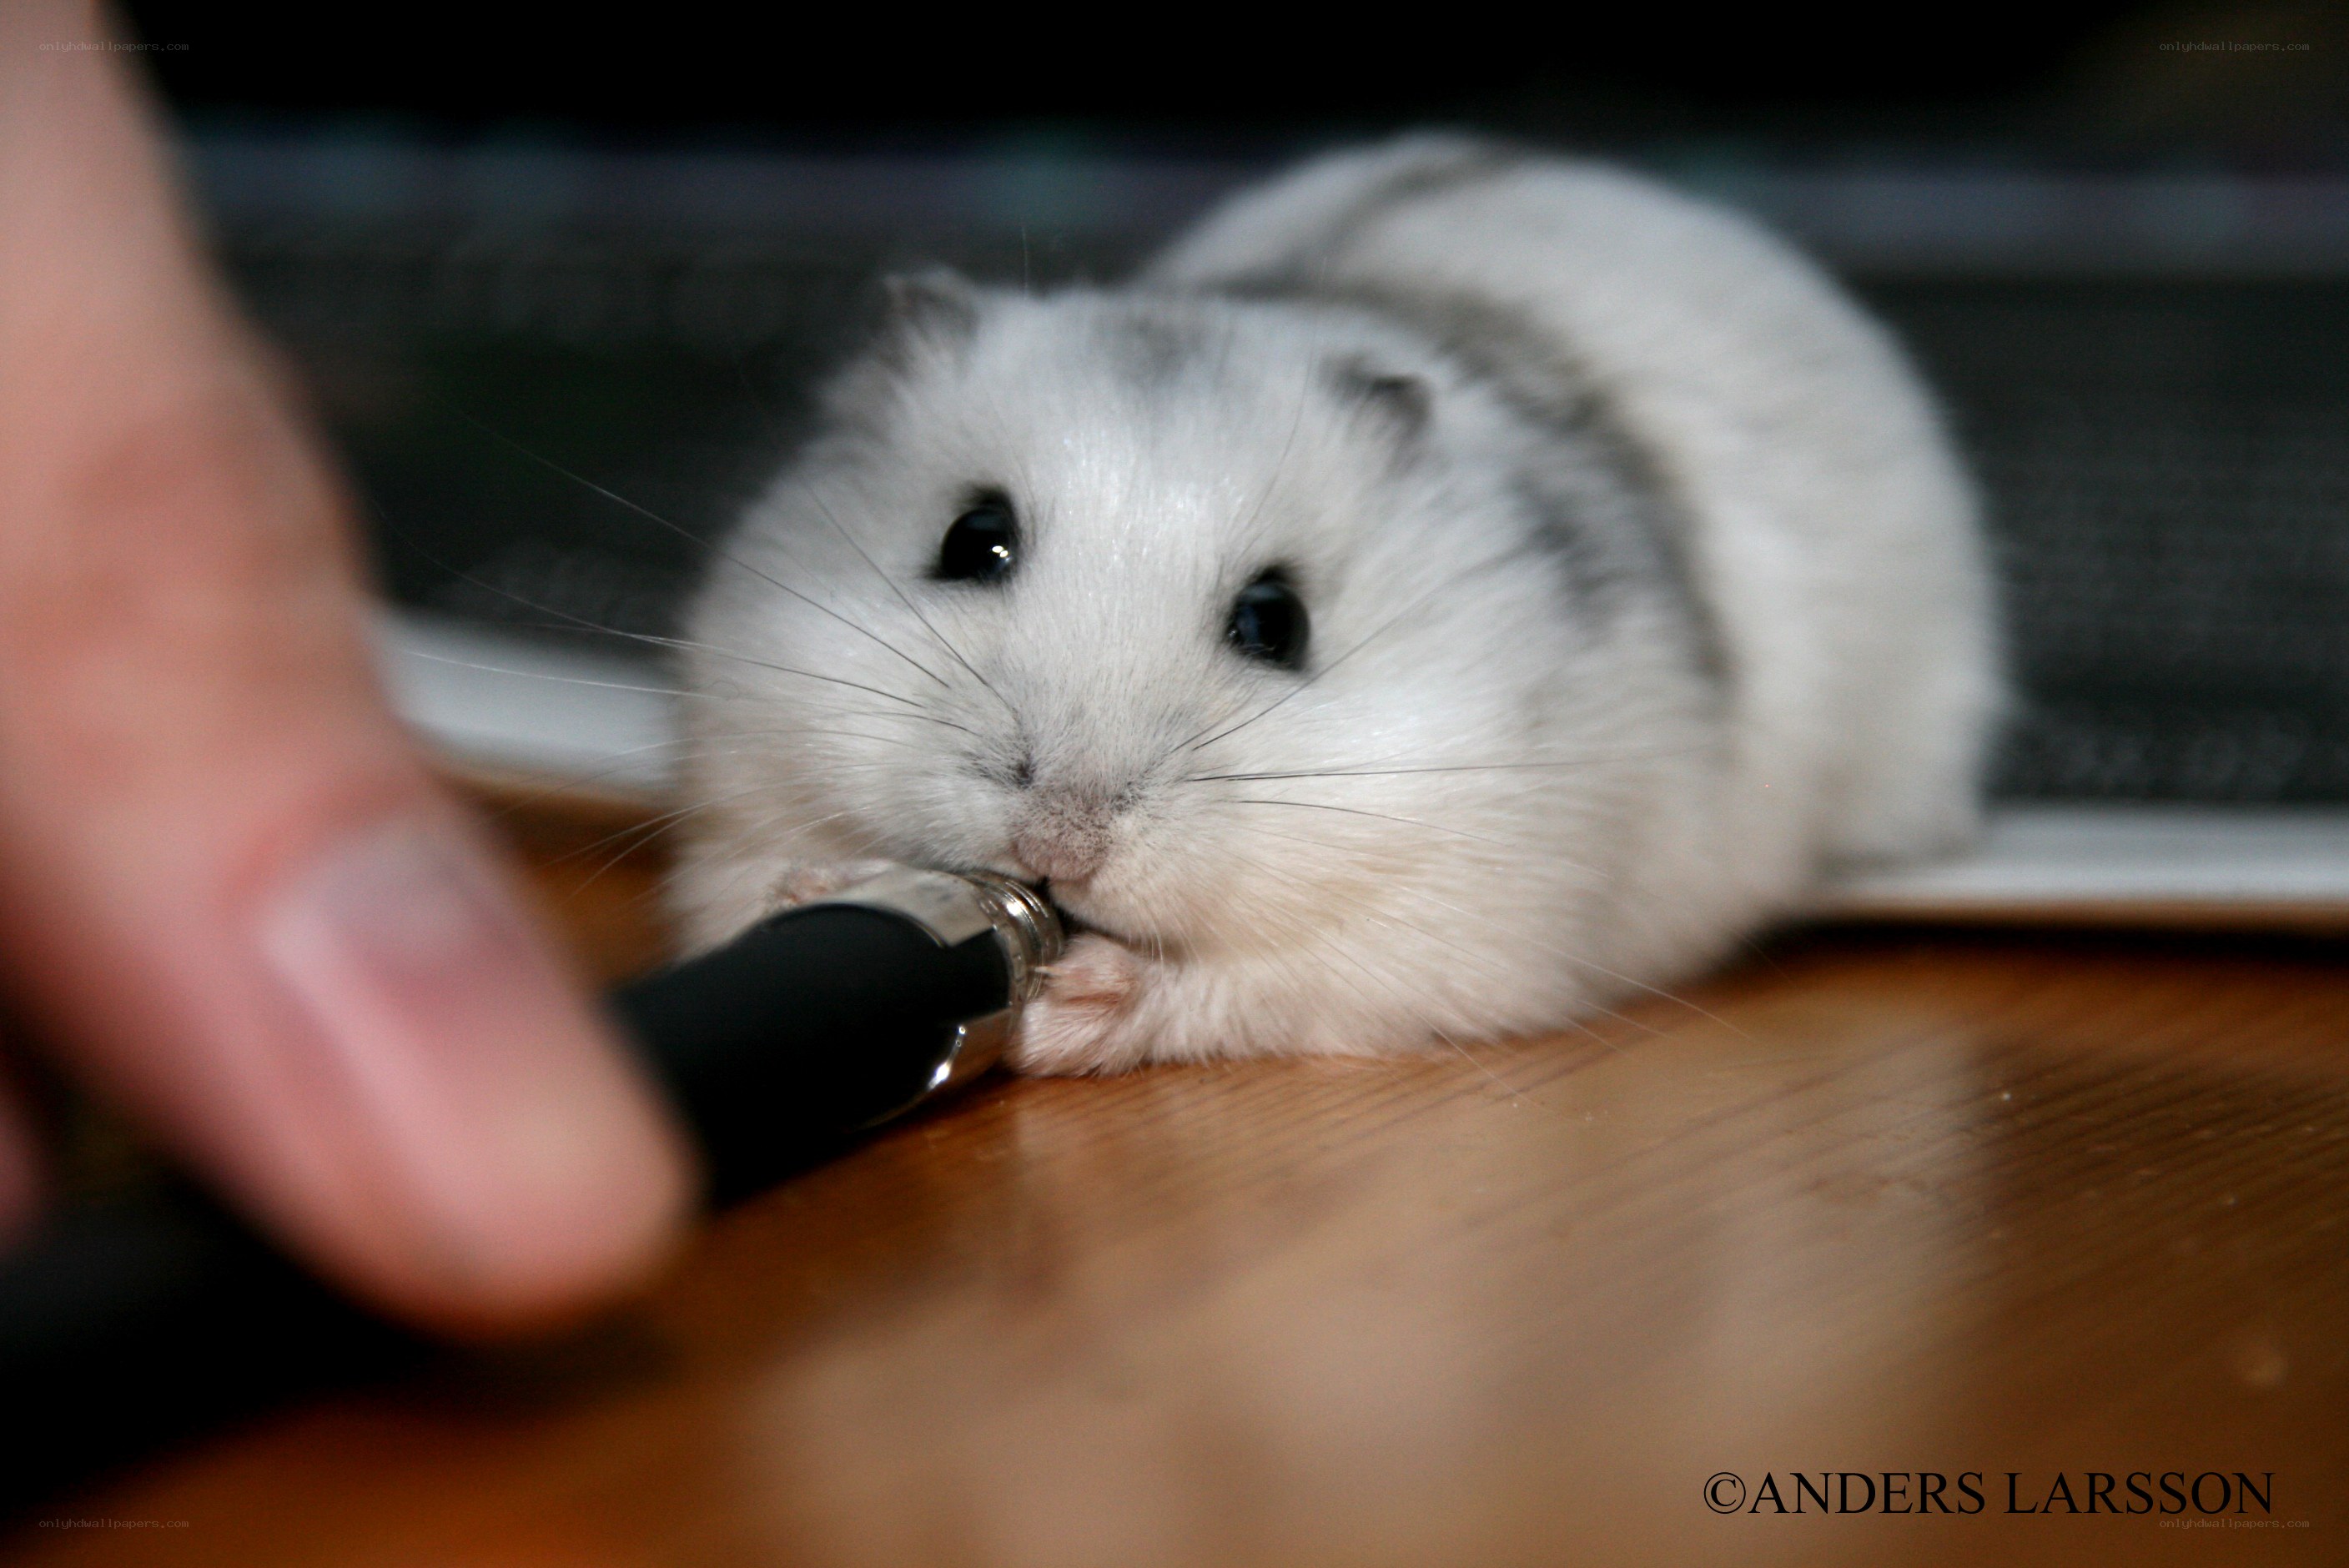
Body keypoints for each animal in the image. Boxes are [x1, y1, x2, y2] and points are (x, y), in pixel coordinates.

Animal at [667, 135, 2000, 1074]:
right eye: (969, 540)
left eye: (1277, 621)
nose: (1057, 847)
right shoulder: (730, 800)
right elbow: (750, 884)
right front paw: (814, 888)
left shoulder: (1446, 922)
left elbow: (1254, 979)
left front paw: (1075, 1007)